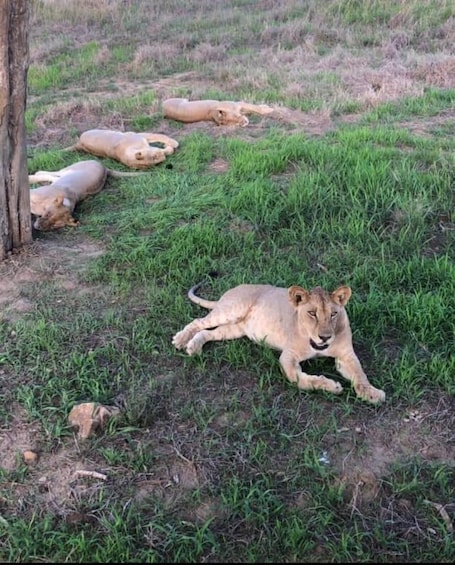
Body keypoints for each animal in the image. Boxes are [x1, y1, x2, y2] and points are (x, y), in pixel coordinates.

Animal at [173, 280, 386, 404]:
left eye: (334, 314)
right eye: (312, 313)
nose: (325, 337)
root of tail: (229, 292)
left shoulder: (345, 355)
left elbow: (359, 374)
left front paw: (373, 393)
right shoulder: (288, 356)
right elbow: (299, 379)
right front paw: (330, 385)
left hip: (235, 329)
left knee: (208, 333)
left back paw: (193, 346)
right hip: (232, 309)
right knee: (199, 322)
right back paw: (181, 340)